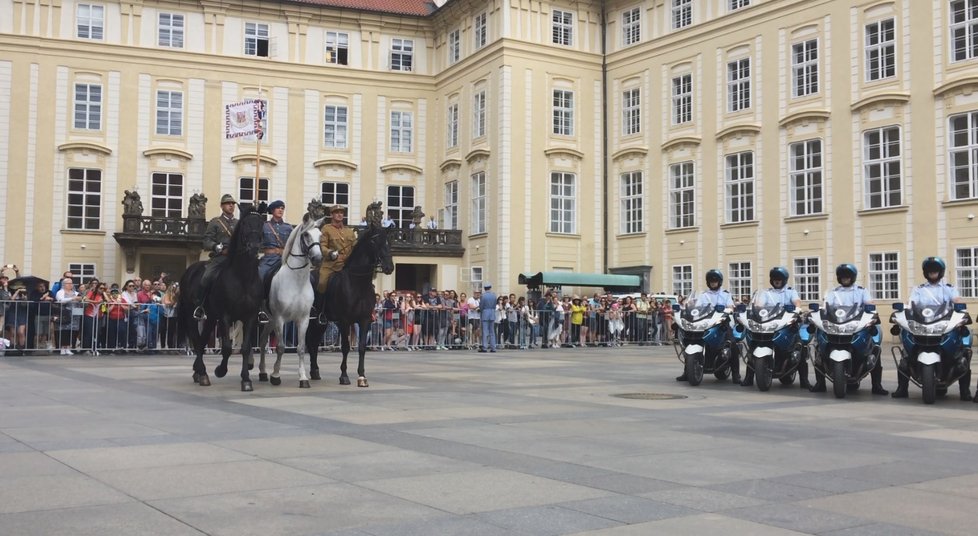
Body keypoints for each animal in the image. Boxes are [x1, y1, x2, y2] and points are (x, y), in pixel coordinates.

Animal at [177, 203, 264, 392]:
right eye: (245, 224)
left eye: (261, 224)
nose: (254, 247)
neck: (243, 277)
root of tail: (189, 270)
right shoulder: (225, 316)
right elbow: (226, 348)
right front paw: (220, 370)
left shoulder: (250, 317)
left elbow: (245, 348)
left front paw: (246, 379)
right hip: (192, 316)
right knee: (196, 340)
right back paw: (203, 374)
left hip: (210, 318)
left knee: (202, 341)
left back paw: (198, 372)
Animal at [308, 220, 392, 388]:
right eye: (374, 241)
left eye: (388, 241)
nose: (389, 267)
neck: (357, 283)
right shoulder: (344, 321)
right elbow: (346, 347)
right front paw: (344, 376)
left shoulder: (365, 320)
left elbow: (361, 347)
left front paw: (362, 376)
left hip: (321, 323)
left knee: (314, 343)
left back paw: (315, 371)